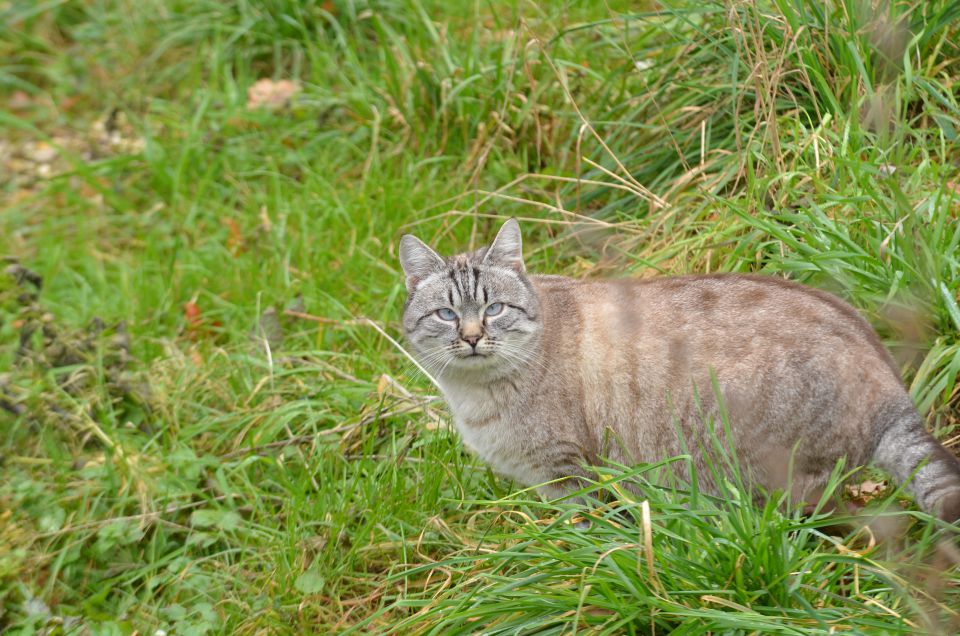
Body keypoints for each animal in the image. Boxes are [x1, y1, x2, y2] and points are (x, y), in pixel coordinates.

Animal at [396, 219, 960, 520]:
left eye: (493, 309)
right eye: (447, 314)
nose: (472, 337)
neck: (475, 395)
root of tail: (894, 388)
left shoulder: (567, 473)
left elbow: (580, 530)